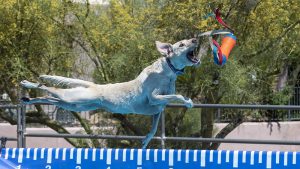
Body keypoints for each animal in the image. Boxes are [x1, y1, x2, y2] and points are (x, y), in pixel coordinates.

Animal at [20, 38, 199, 148]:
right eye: (182, 44)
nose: (195, 39)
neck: (168, 72)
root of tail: (93, 85)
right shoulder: (154, 98)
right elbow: (177, 96)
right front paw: (188, 101)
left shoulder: (157, 110)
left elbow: (154, 127)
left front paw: (146, 140)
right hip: (75, 97)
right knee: (50, 89)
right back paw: (28, 84)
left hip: (75, 104)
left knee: (50, 97)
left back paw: (28, 99)